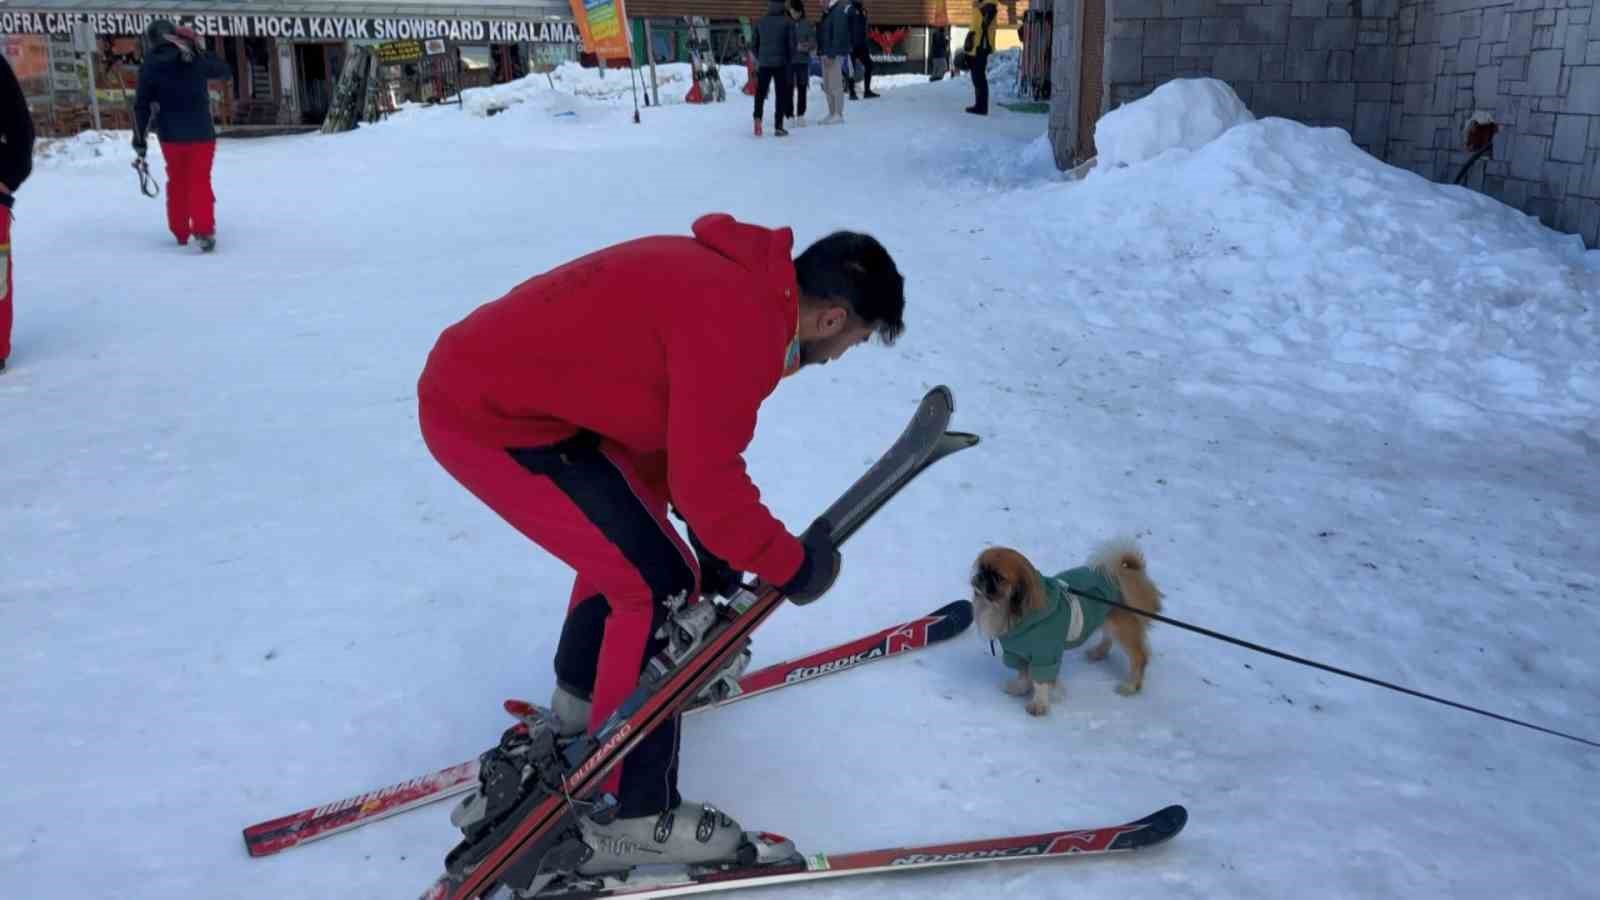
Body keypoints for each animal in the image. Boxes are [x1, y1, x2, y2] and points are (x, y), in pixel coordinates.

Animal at [966, 531, 1171, 714]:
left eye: (998, 577)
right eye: (982, 568)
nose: (980, 577)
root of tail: (1128, 573)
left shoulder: (1044, 656)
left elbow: (1040, 681)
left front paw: (1039, 705)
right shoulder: (1020, 653)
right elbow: (1024, 674)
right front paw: (1020, 688)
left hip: (1123, 628)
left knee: (1139, 657)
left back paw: (1130, 686)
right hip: (1108, 621)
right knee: (1108, 637)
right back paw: (1098, 653)